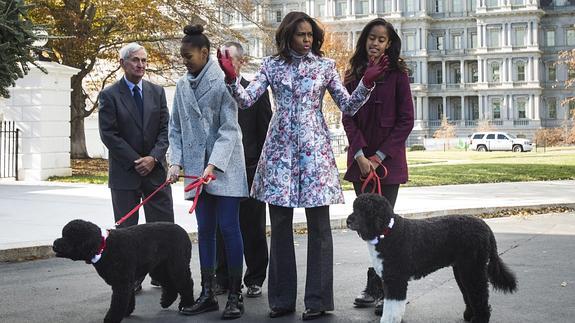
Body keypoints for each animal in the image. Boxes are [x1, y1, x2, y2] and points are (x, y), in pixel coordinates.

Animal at [348, 195, 520, 323]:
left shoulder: (396, 280)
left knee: (480, 296)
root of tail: (485, 227)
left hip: (473, 269)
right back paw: (469, 315)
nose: (348, 221)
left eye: (365, 210)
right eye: (354, 208)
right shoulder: (390, 279)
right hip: (462, 270)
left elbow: (392, 309)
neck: (388, 232)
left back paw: (479, 319)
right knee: (469, 294)